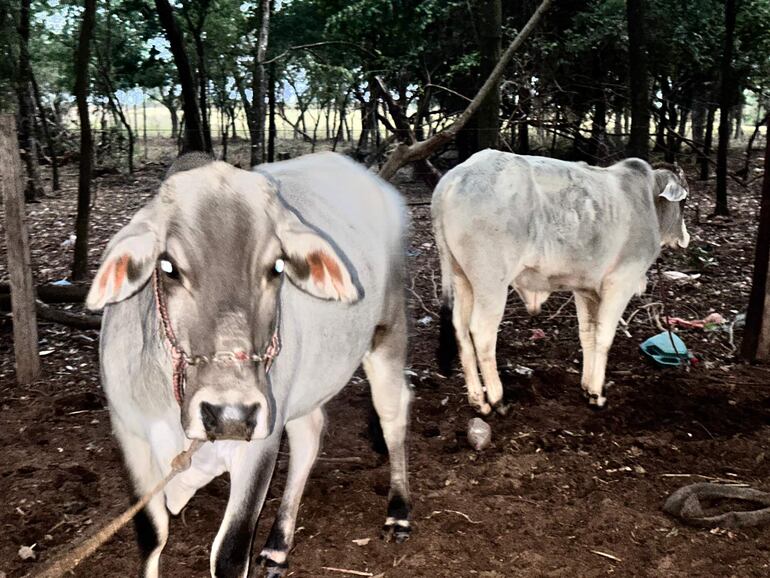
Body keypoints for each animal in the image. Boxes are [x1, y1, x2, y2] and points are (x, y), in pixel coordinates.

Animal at [86, 152, 412, 576]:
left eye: (277, 266)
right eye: (168, 266)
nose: (229, 414)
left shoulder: (260, 442)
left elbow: (229, 551)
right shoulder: (129, 435)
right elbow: (151, 536)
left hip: (388, 332)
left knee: (393, 415)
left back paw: (399, 511)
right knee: (309, 436)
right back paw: (278, 545)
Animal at [432, 151, 688, 414]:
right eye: (684, 202)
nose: (684, 238)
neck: (649, 201)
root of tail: (453, 177)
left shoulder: (586, 292)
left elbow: (588, 334)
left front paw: (587, 387)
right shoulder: (620, 283)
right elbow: (604, 338)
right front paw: (597, 394)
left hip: (462, 279)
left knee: (460, 330)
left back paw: (478, 401)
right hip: (491, 284)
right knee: (482, 334)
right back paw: (497, 400)